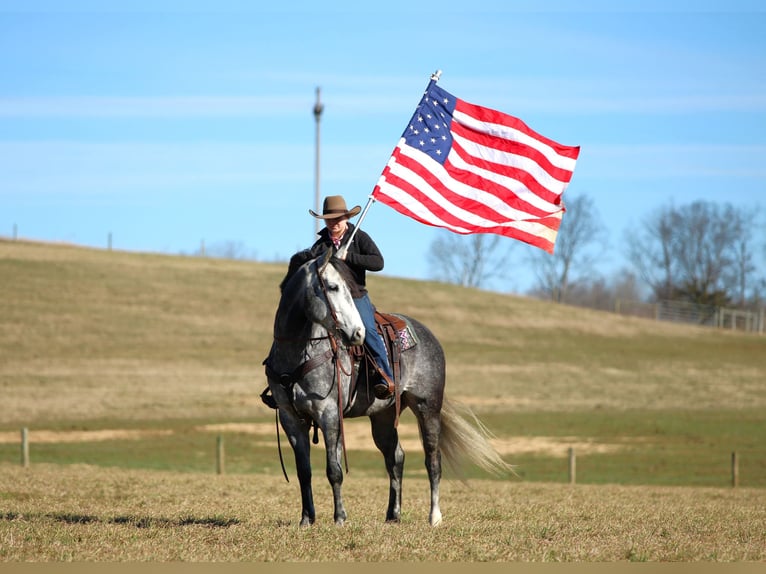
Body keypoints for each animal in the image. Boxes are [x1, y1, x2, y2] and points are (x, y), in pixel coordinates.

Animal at [263, 249, 512, 527]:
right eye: (333, 287)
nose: (357, 333)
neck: (298, 353)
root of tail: (428, 335)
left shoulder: (328, 414)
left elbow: (334, 469)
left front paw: (340, 518)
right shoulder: (291, 418)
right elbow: (304, 471)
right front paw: (307, 519)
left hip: (428, 408)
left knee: (432, 460)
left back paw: (434, 516)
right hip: (383, 416)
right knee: (396, 457)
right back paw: (393, 514)